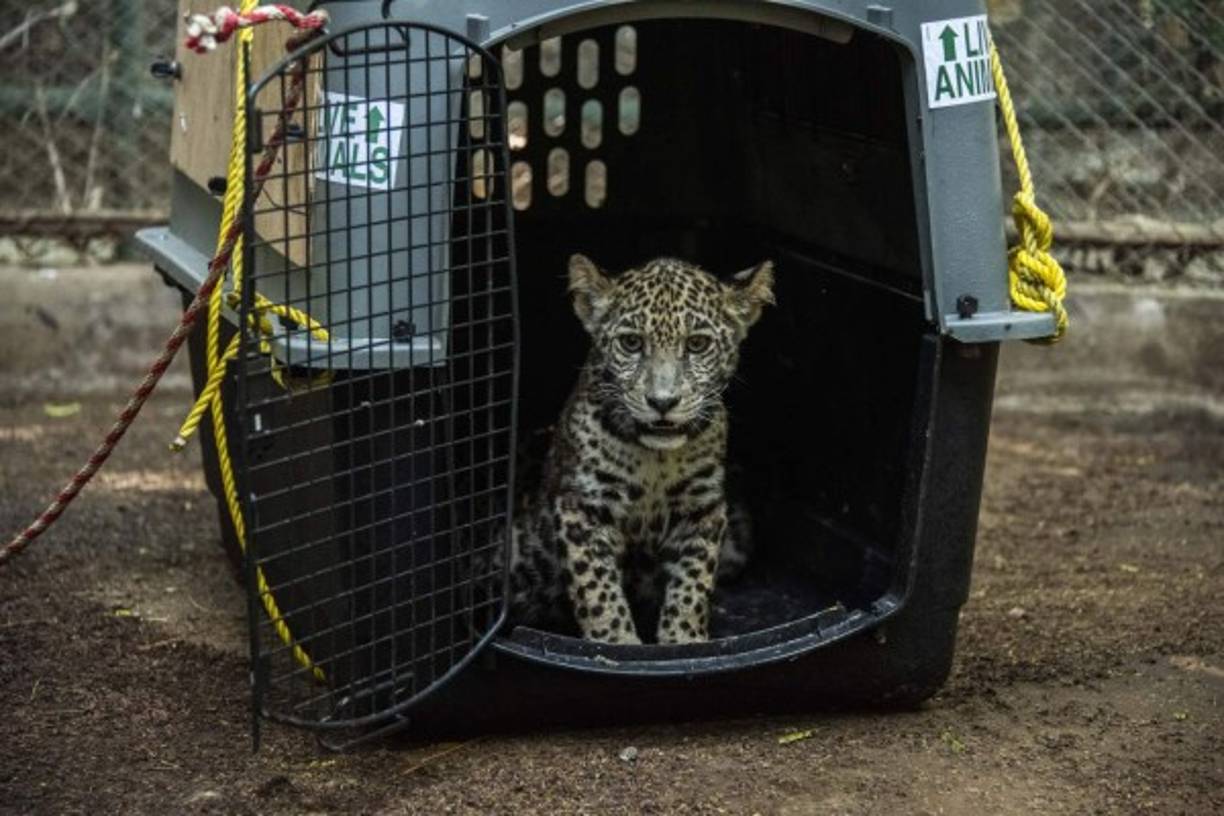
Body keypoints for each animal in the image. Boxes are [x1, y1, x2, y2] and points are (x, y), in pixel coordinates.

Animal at [504, 253, 775, 644]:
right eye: (631, 343)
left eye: (697, 345)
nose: (662, 402)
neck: (655, 460)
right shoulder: (582, 509)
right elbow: (599, 592)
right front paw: (617, 644)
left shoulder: (704, 510)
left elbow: (692, 587)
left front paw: (684, 641)